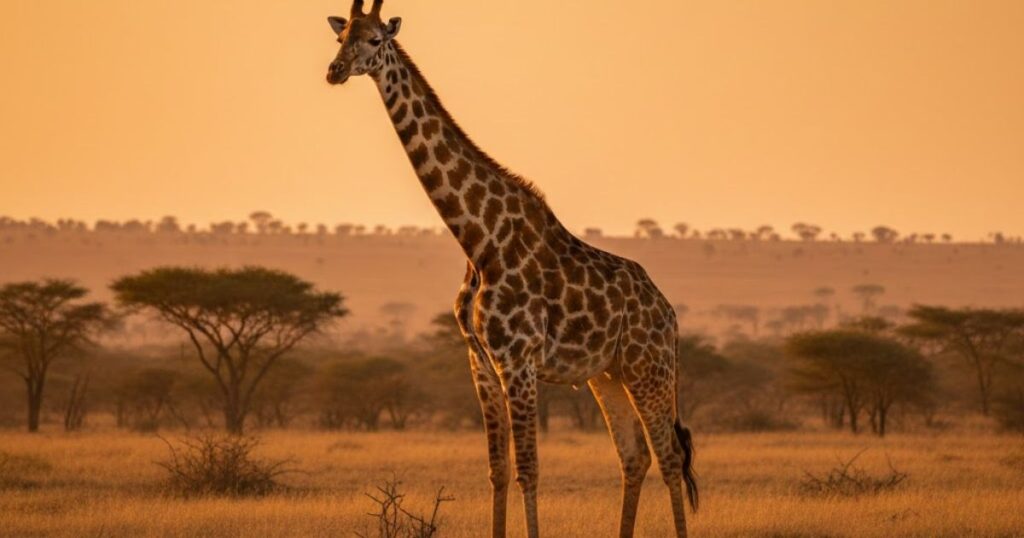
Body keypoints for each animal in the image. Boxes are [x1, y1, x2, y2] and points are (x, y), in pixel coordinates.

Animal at [325, 2, 698, 537]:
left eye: (375, 39)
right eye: (341, 37)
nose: (334, 71)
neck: (479, 241)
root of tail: (668, 313)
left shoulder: (517, 360)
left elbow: (528, 469)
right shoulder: (479, 361)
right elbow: (498, 470)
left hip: (650, 368)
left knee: (669, 458)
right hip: (608, 375)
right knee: (635, 457)